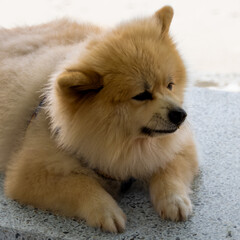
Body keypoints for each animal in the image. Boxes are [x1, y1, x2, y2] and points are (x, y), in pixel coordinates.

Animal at [0, 6, 199, 232]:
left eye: (170, 85)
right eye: (141, 95)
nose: (180, 115)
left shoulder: (178, 146)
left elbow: (169, 170)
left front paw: (174, 200)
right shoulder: (28, 174)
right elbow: (80, 184)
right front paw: (105, 209)